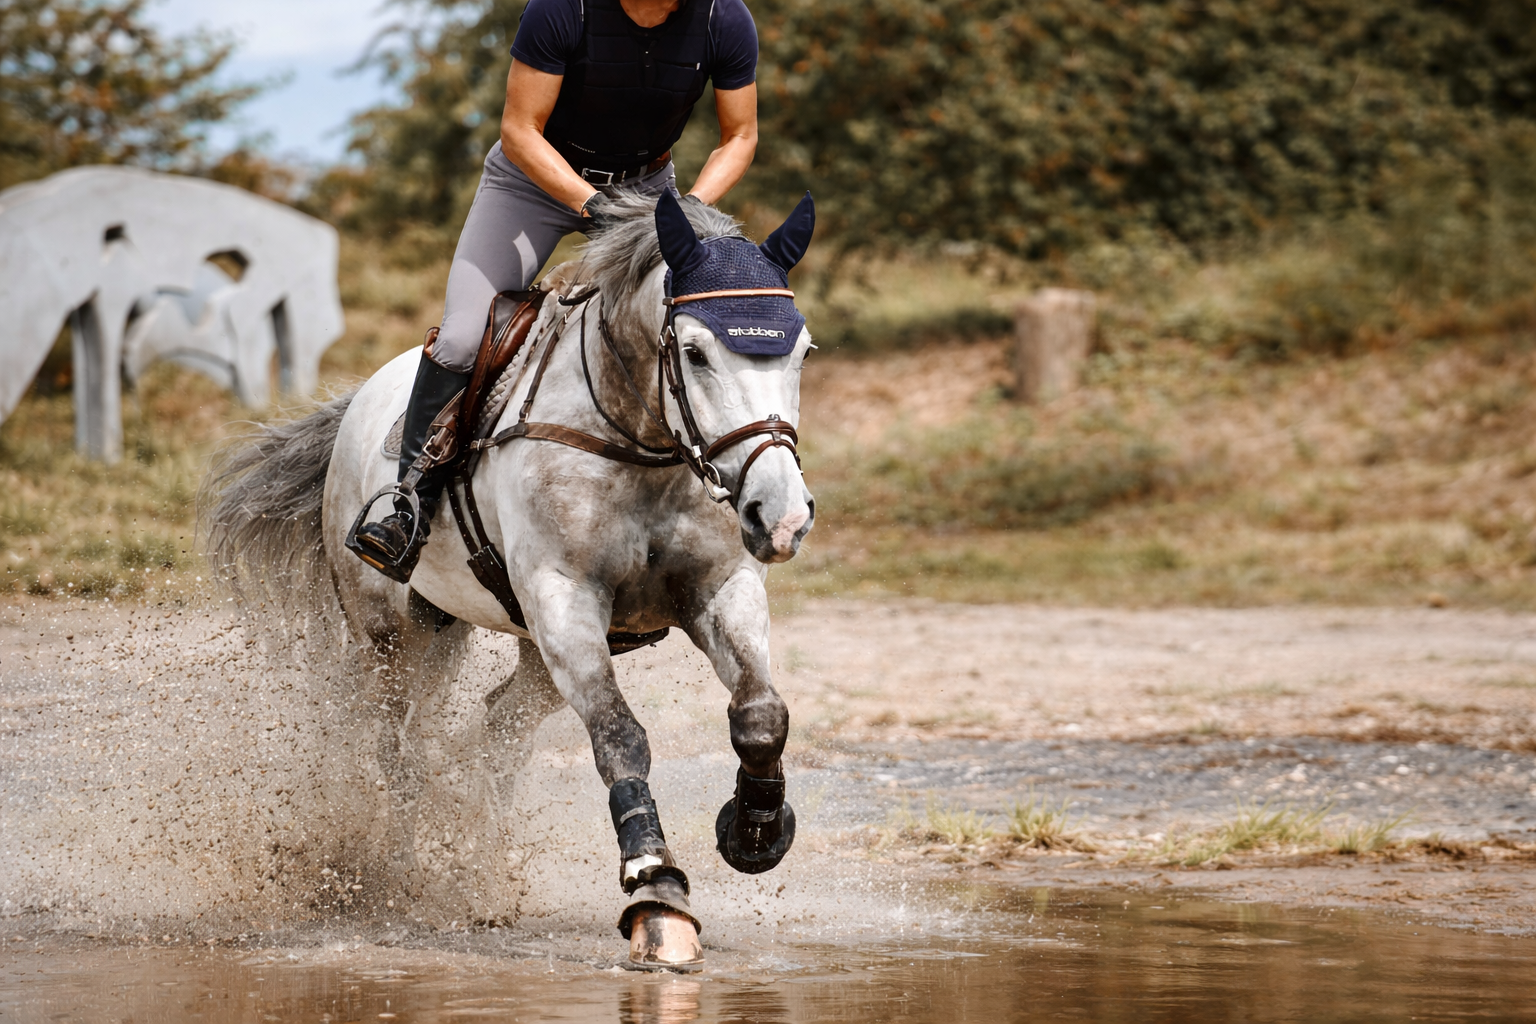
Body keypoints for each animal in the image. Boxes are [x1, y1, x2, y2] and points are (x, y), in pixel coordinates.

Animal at [201, 190, 817, 971]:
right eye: (695, 352)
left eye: (802, 351)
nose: (783, 515)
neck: (642, 442)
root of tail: (361, 400)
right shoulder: (563, 599)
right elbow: (620, 737)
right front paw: (656, 894)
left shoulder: (720, 588)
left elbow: (761, 713)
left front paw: (755, 831)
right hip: (389, 635)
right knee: (388, 740)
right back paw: (393, 873)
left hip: (489, 640)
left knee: (491, 730)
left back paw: (471, 859)